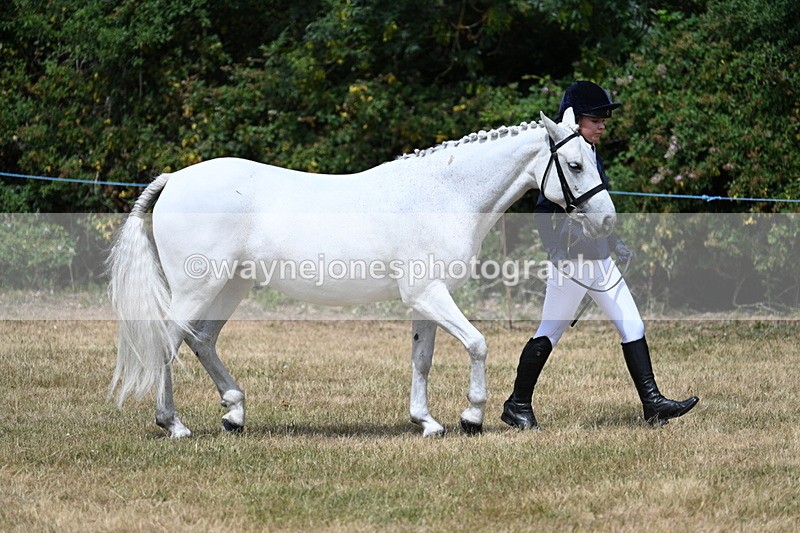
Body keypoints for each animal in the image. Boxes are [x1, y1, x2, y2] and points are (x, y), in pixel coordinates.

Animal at [107, 108, 616, 438]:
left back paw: (234, 414)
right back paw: (173, 424)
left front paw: (427, 422)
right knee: (169, 340)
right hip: (198, 286)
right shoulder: (429, 294)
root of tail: (175, 178)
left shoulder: (426, 300)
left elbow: (422, 359)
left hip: (231, 285)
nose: (608, 220)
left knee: (201, 339)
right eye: (574, 164)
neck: (444, 194)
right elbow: (477, 343)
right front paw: (471, 418)